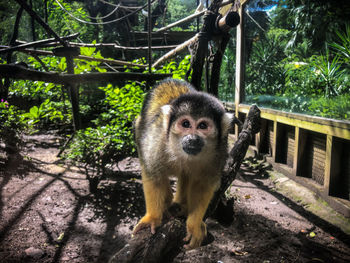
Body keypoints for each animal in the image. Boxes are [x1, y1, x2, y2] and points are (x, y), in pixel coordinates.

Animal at [133, 78, 231, 250]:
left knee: (187, 174)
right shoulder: (157, 138)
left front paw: (194, 225)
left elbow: (203, 184)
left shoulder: (220, 150)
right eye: (185, 124)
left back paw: (182, 205)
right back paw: (167, 201)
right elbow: (153, 174)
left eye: (203, 126)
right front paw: (152, 218)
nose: (192, 139)